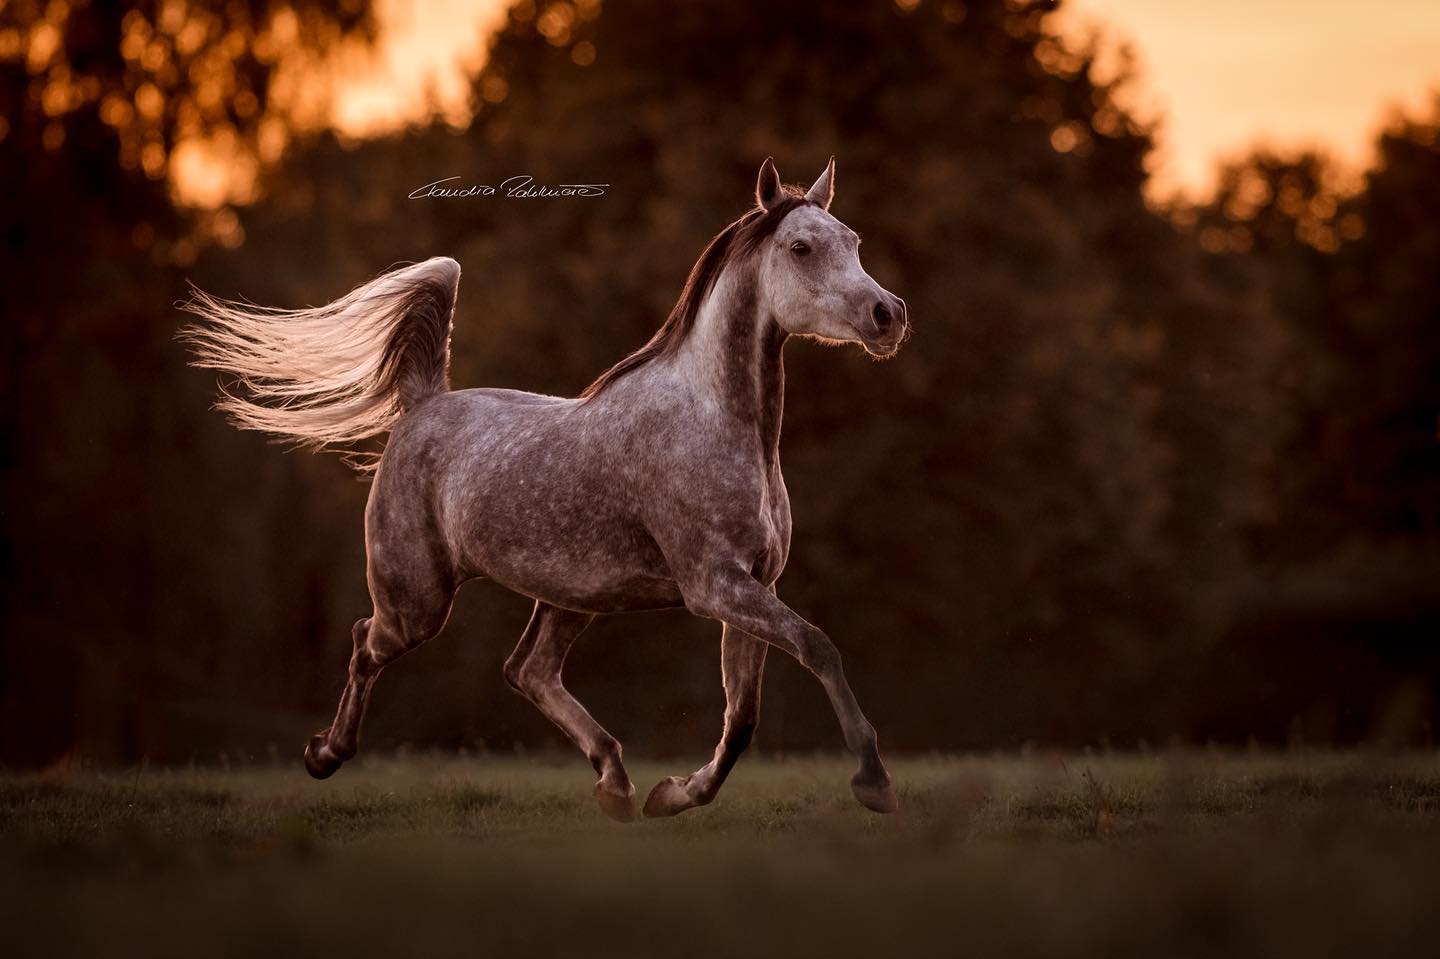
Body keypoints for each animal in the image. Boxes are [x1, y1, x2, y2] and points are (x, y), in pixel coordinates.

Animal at [183, 158, 909, 821]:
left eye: (853, 240)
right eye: (801, 247)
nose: (888, 314)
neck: (713, 419)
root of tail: (423, 404)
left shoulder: (753, 583)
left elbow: (744, 715)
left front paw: (674, 795)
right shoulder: (715, 586)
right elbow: (817, 648)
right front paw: (873, 782)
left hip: (571, 595)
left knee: (526, 670)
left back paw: (616, 783)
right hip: (418, 602)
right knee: (368, 641)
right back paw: (324, 755)